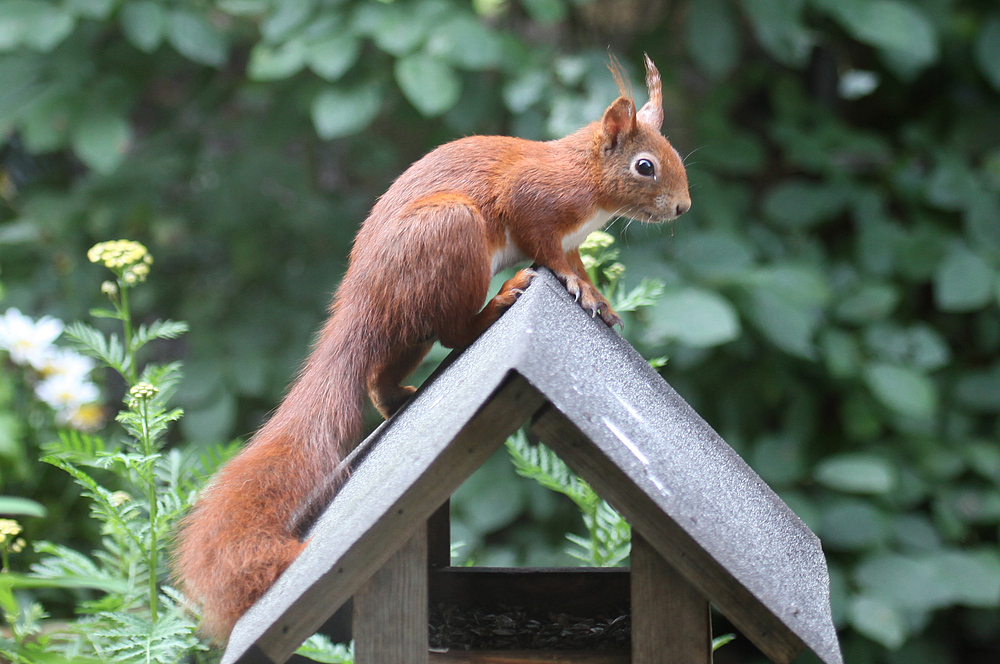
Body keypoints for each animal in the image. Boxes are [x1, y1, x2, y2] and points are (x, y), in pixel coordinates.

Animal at [174, 57, 688, 644]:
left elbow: (573, 261)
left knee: (381, 374)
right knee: (456, 333)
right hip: (450, 233)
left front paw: (596, 295)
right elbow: (551, 254)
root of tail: (360, 300)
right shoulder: (535, 204)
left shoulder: (569, 238)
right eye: (645, 166)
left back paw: (399, 397)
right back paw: (499, 302)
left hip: (410, 329)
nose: (683, 206)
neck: (586, 179)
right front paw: (582, 288)